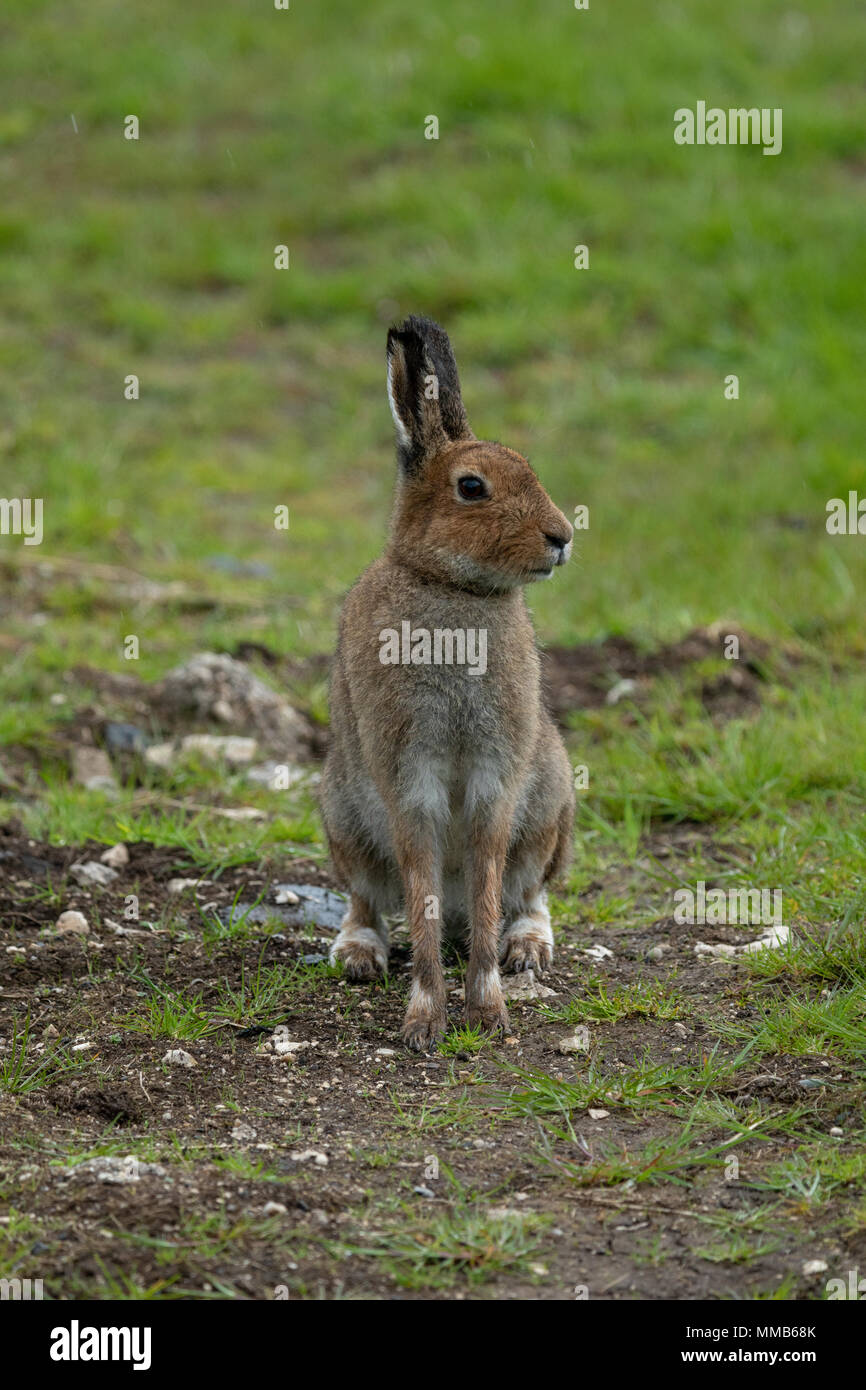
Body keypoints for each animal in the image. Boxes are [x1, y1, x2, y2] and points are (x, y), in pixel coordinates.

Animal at [319, 315, 575, 1051]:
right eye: (472, 487)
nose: (562, 538)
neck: (452, 587)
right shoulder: (411, 775)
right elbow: (420, 899)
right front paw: (424, 1021)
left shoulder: (497, 775)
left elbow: (489, 878)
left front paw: (487, 1011)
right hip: (344, 817)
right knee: (369, 900)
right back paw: (358, 957)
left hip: (550, 806)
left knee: (526, 893)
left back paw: (525, 950)